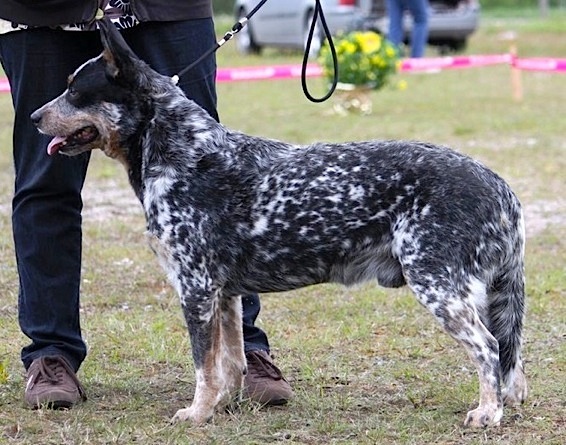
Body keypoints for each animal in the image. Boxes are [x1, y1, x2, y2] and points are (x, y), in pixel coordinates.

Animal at [30, 18, 528, 426]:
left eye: (75, 91)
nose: (33, 116)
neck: (183, 154)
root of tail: (501, 186)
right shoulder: (225, 294)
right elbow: (230, 361)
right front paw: (221, 406)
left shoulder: (195, 289)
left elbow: (203, 364)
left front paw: (197, 412)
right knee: (511, 357)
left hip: (439, 284)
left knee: (488, 349)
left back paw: (487, 412)